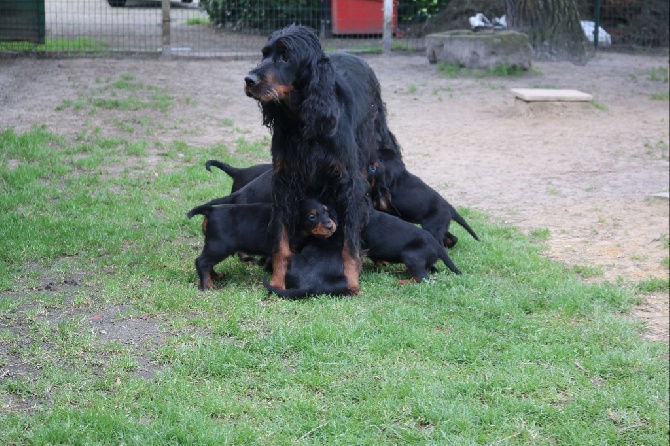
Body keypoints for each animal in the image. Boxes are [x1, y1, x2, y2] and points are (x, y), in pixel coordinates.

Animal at [186, 198, 336, 290]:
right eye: (312, 216)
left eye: (326, 211)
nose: (331, 226)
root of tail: (211, 210)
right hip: (219, 246)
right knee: (201, 262)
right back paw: (208, 285)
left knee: (207, 263)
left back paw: (215, 276)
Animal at [244, 26, 400, 294]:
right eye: (264, 53)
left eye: (285, 56)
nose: (249, 80)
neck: (303, 121)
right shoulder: (285, 183)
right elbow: (281, 241)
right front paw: (277, 281)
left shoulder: (349, 183)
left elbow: (350, 243)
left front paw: (351, 281)